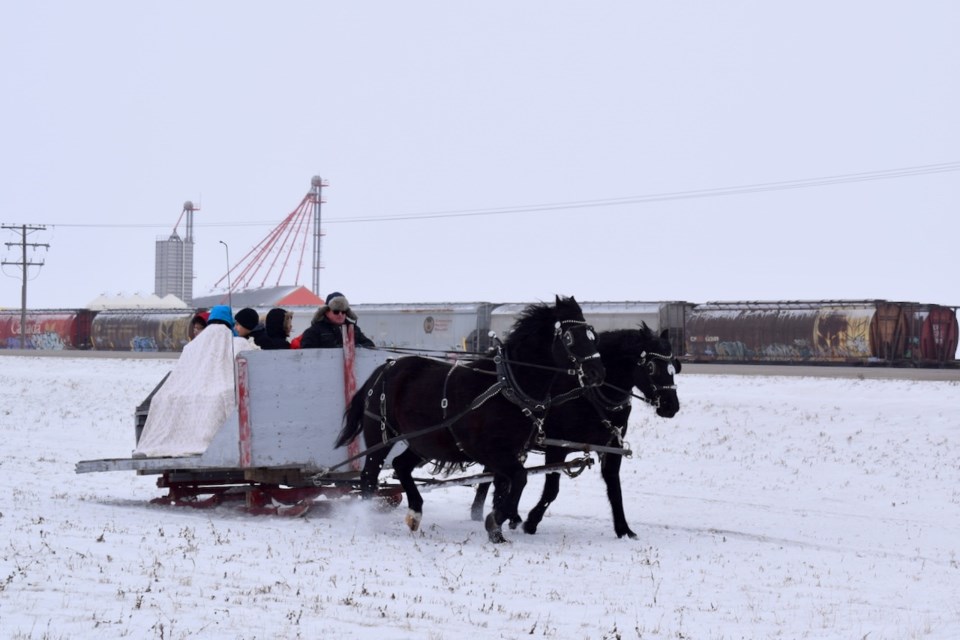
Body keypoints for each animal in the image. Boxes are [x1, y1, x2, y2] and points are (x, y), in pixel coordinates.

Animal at [338, 298, 604, 544]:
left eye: (592, 334)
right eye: (570, 337)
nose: (597, 372)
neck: (508, 387)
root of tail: (384, 368)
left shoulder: (510, 453)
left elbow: (505, 487)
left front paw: (498, 527)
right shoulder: (491, 452)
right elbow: (519, 479)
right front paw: (496, 520)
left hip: (424, 441)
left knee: (401, 466)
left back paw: (415, 512)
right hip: (380, 435)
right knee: (369, 476)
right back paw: (367, 518)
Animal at [468, 324, 680, 540]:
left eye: (674, 365)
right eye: (652, 367)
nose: (671, 406)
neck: (590, 395)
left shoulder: (612, 448)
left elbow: (615, 488)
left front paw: (624, 529)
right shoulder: (556, 448)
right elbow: (552, 490)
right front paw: (531, 522)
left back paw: (492, 513)